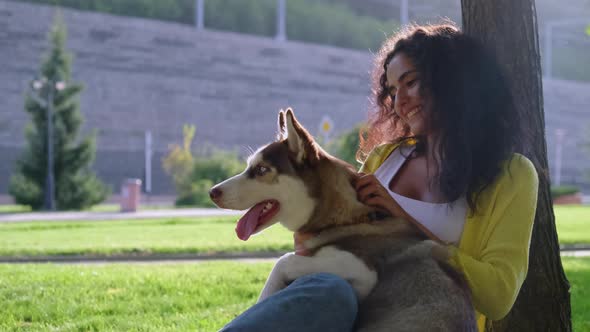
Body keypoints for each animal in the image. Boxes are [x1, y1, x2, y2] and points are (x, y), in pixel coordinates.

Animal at [210, 109, 478, 332]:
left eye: (262, 170)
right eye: (249, 167)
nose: (212, 192)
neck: (347, 218)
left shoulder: (361, 270)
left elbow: (282, 261)